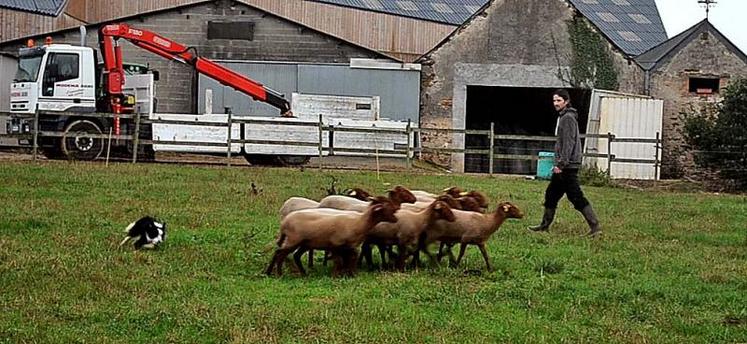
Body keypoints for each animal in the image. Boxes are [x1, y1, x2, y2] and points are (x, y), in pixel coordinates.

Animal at [266, 199, 400, 276]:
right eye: (387, 209)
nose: (396, 219)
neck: (360, 222)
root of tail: (284, 223)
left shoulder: (348, 246)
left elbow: (351, 258)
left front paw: (350, 273)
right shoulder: (336, 244)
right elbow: (340, 260)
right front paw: (338, 274)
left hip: (304, 242)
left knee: (294, 255)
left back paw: (302, 273)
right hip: (293, 239)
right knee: (280, 253)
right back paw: (278, 273)